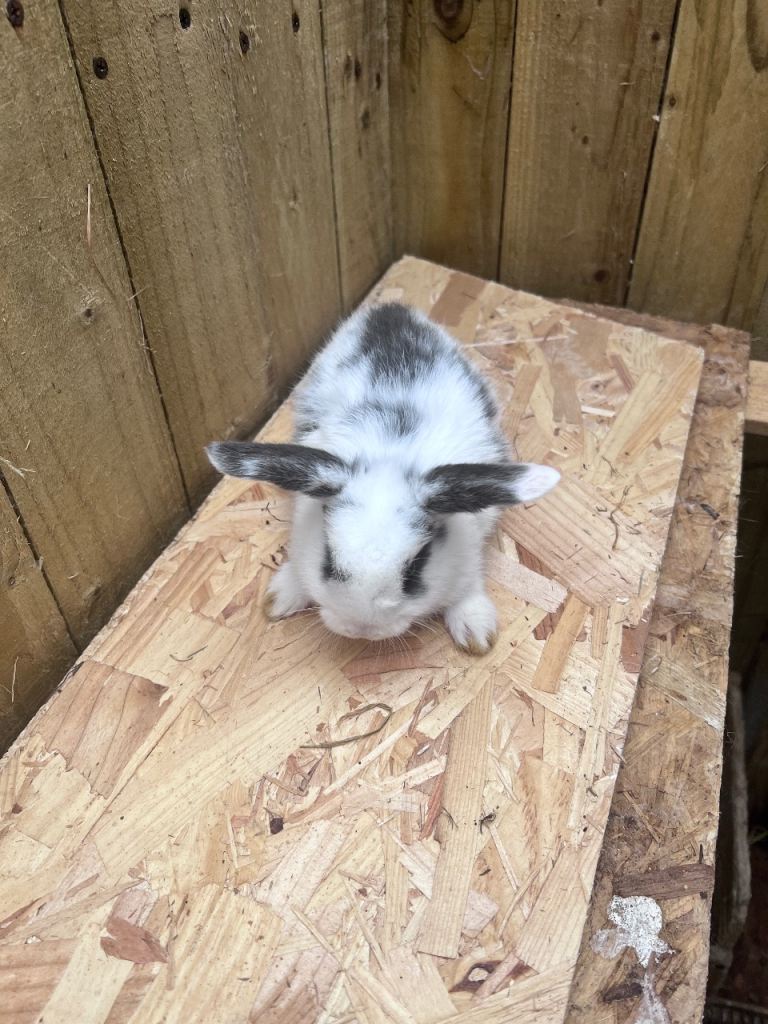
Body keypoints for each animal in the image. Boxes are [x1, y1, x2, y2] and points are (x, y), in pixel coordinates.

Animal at [206, 302, 559, 653]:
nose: (360, 629)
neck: (390, 455)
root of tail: (391, 308)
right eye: (329, 561)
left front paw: (477, 636)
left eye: (415, 568)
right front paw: (278, 598)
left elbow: (468, 585)